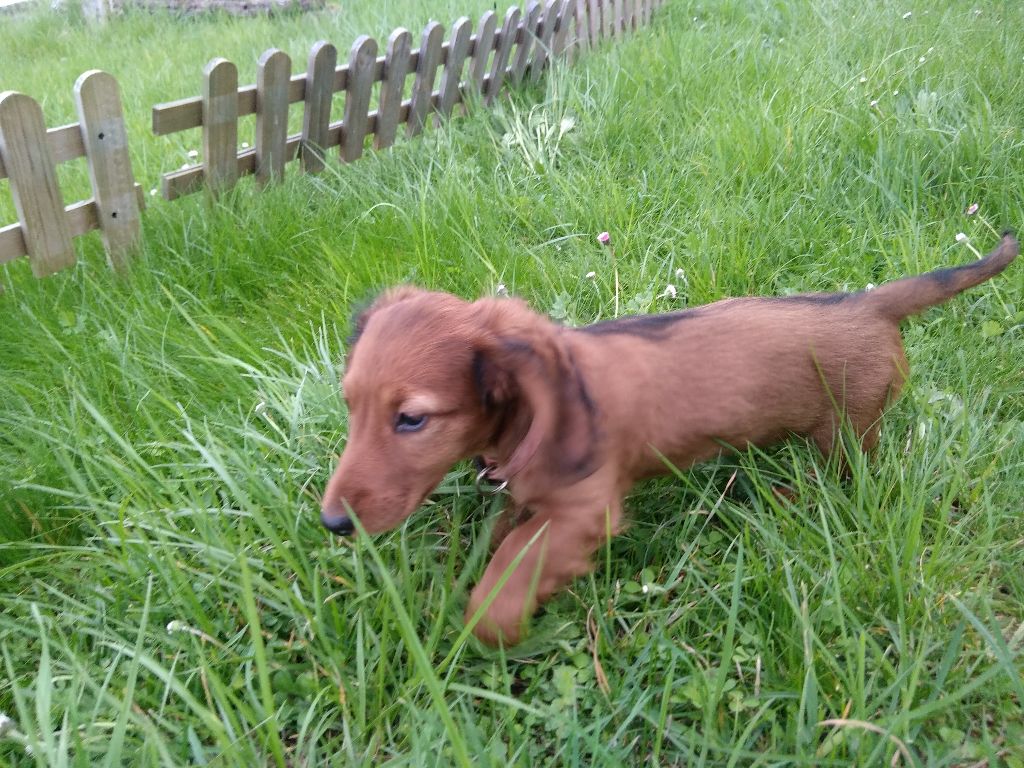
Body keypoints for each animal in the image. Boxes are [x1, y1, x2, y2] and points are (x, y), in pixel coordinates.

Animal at [319, 231, 1015, 647]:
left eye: (412, 420)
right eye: (350, 405)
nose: (332, 523)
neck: (536, 412)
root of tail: (868, 304)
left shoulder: (583, 511)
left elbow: (515, 563)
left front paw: (484, 626)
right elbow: (504, 529)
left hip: (847, 433)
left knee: (842, 478)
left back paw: (788, 499)